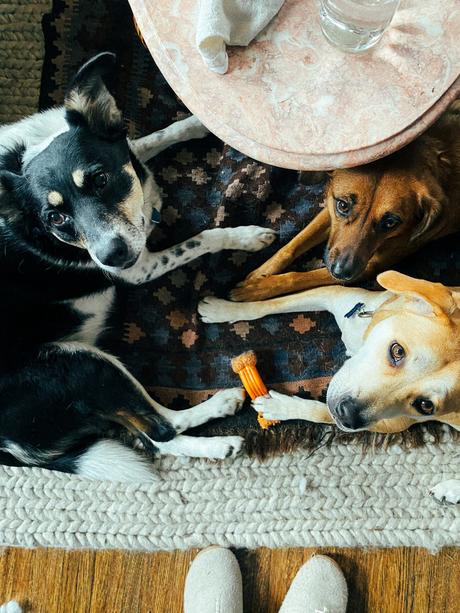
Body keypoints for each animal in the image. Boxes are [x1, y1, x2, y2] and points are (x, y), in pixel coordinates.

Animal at [0, 52, 274, 480]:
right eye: (55, 218)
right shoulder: (139, 266)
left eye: (100, 178)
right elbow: (201, 239)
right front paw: (245, 236)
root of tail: (9, 450)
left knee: (153, 436)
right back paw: (223, 413)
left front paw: (197, 122)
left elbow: (148, 139)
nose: (111, 256)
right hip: (78, 361)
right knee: (162, 427)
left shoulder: (121, 153)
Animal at [199, 272, 460, 502]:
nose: (348, 416)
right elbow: (270, 305)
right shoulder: (332, 294)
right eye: (397, 351)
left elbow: (321, 411)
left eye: (425, 405)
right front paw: (221, 309)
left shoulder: (390, 423)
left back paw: (450, 490)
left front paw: (281, 407)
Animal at [232, 101, 460, 302]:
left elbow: (300, 277)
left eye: (390, 222)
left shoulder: (372, 265)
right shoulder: (330, 208)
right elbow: (292, 245)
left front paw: (258, 288)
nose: (342, 272)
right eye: (343, 206)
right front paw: (261, 273)